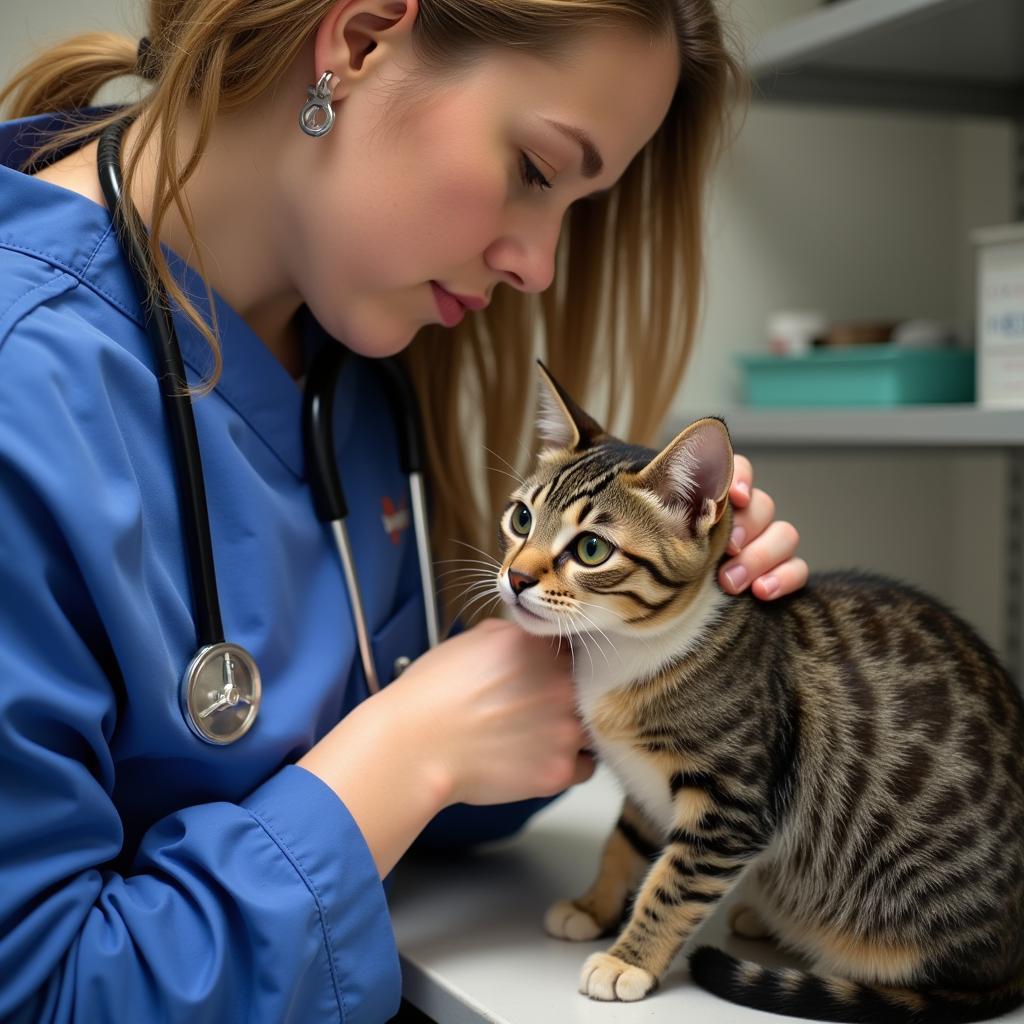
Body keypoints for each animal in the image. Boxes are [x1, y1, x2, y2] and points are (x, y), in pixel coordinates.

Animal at [493, 366, 1024, 1024]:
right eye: (521, 519)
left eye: (592, 549)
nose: (516, 577)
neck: (622, 651)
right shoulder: (646, 786)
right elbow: (626, 840)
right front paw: (594, 906)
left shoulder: (733, 803)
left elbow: (674, 884)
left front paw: (628, 960)